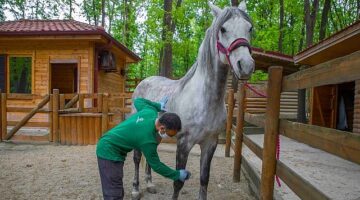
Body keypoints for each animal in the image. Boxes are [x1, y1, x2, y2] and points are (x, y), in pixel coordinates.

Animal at [131, 1, 253, 200]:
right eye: (223, 29)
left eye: (250, 28)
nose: (246, 65)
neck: (205, 100)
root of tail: (143, 82)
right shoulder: (184, 143)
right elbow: (178, 182)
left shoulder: (210, 143)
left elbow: (204, 179)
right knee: (136, 158)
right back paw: (135, 189)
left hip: (155, 133)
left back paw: (150, 184)